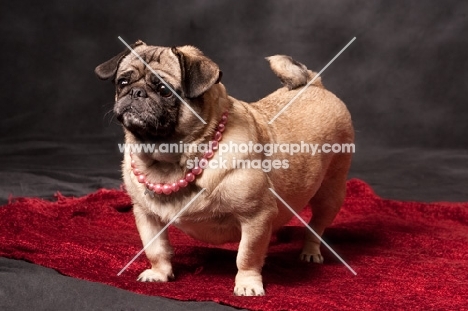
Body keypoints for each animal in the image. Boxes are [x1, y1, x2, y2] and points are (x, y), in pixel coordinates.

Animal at [94, 41, 352, 298]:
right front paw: (159, 273)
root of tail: (312, 82)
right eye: (122, 83)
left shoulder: (255, 217)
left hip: (330, 194)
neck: (170, 162)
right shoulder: (146, 216)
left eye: (165, 90)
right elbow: (156, 249)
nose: (136, 92)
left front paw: (247, 283)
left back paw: (310, 252)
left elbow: (247, 255)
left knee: (316, 226)